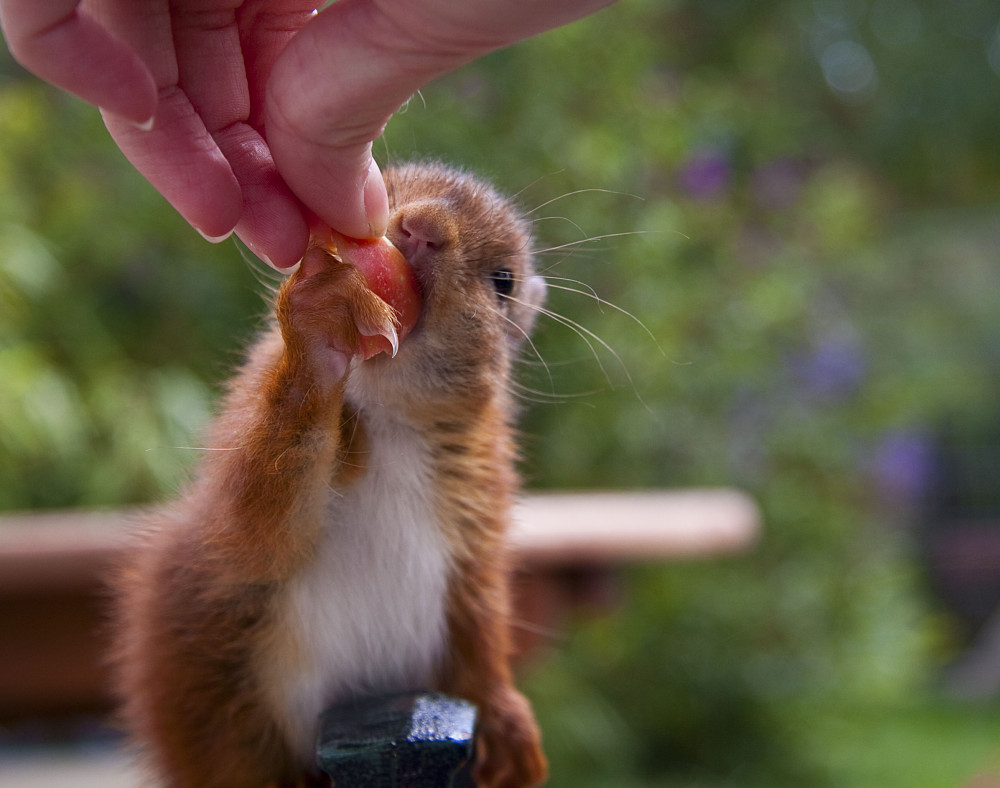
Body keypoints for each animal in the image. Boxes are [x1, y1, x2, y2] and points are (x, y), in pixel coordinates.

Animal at [113, 162, 552, 788]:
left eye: (504, 281)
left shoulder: (478, 503)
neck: (387, 410)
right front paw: (320, 320)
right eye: (386, 188)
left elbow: (480, 623)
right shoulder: (243, 436)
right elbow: (252, 527)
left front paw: (504, 714)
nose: (422, 228)